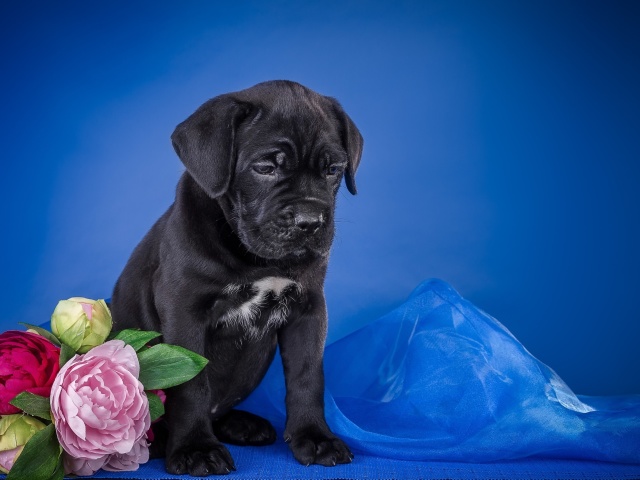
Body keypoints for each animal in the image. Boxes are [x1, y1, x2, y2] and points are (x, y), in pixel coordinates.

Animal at [111, 80, 364, 474]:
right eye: (265, 167)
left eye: (333, 169)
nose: (309, 222)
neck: (257, 259)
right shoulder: (185, 311)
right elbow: (192, 384)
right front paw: (196, 448)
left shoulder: (309, 308)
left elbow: (308, 376)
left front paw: (315, 437)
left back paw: (242, 424)